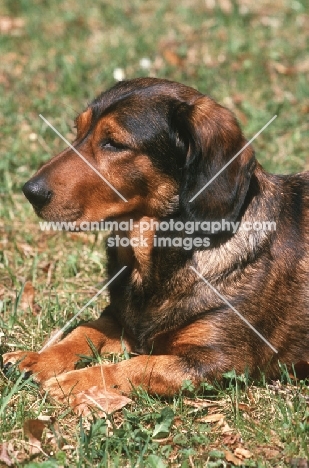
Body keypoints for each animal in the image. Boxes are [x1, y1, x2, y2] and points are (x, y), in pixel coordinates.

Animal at [3, 77, 308, 398]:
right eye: (78, 130)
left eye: (114, 143)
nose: (29, 191)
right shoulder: (118, 319)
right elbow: (83, 331)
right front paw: (38, 359)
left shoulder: (218, 361)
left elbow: (136, 367)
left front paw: (73, 382)